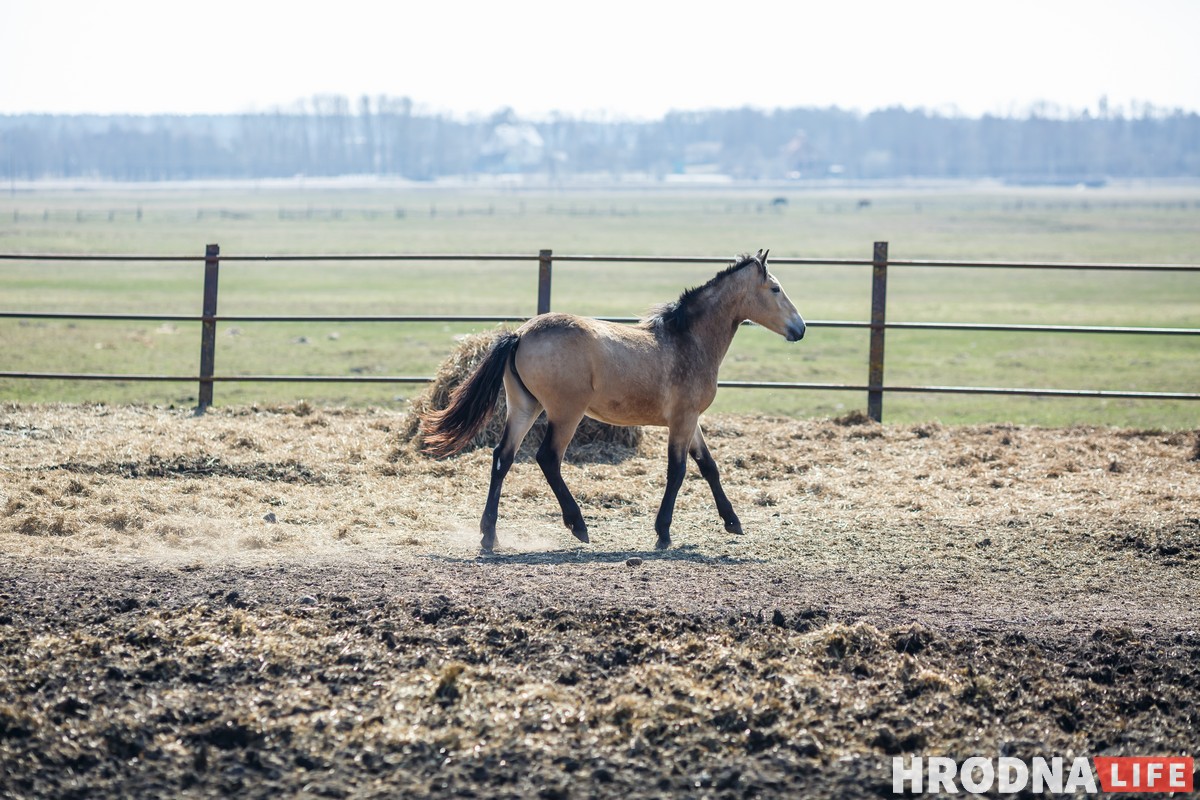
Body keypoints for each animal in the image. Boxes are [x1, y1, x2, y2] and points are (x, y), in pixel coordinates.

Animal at [420, 247, 806, 554]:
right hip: (565, 413)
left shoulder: (691, 420)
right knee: (548, 458)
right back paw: (578, 526)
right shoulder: (682, 419)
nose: (800, 329)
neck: (688, 340)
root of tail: (519, 334)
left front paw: (733, 522)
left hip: (524, 407)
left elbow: (708, 466)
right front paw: (663, 534)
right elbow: (678, 470)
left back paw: (490, 537)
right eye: (775, 288)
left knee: (502, 458)